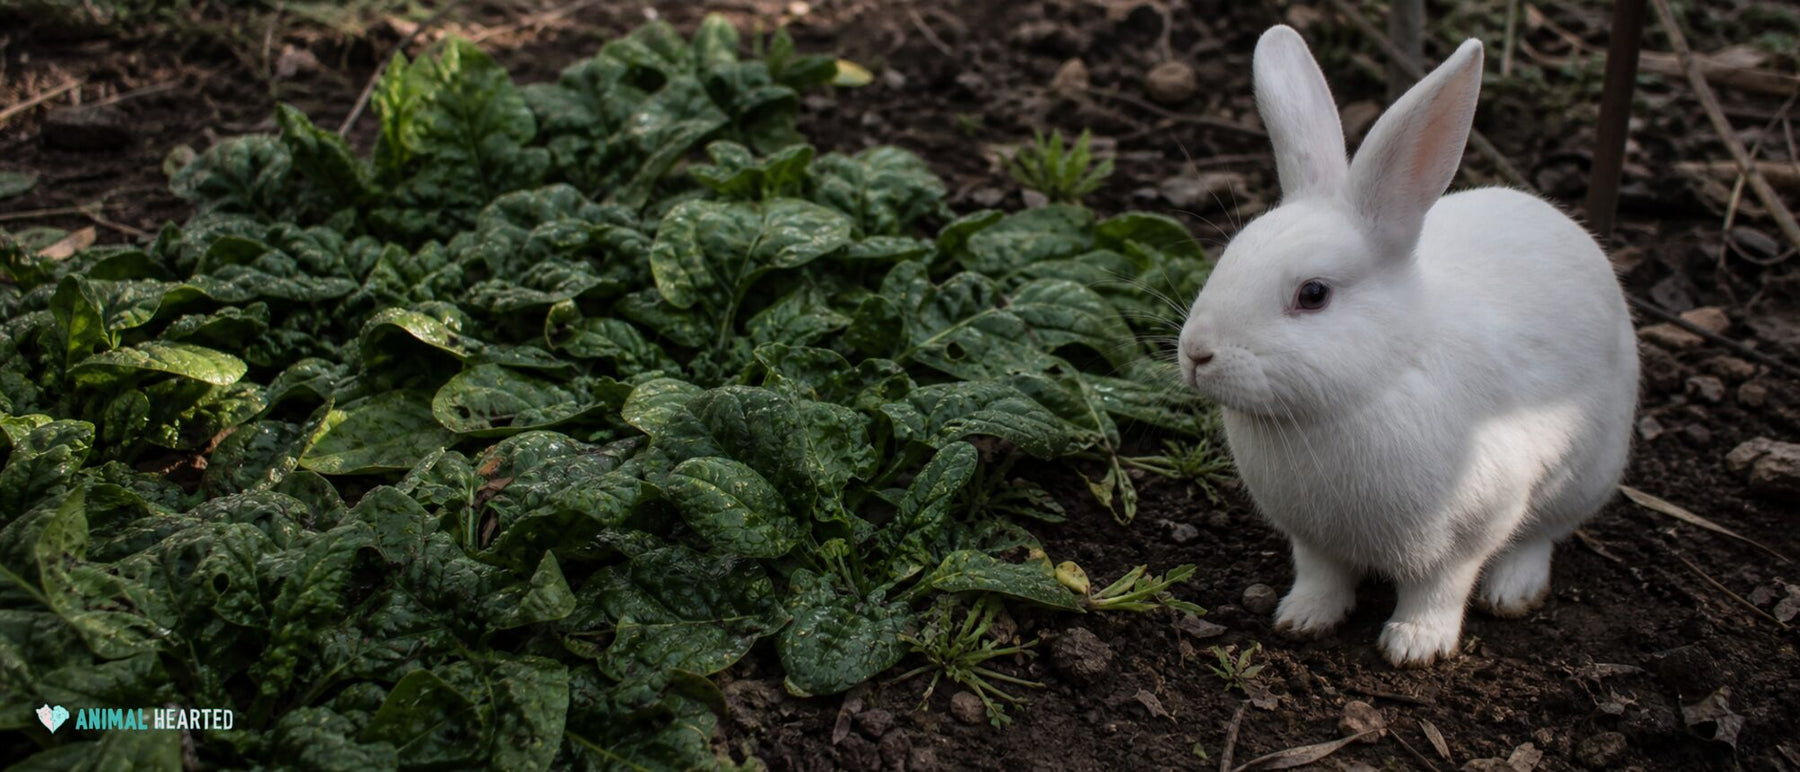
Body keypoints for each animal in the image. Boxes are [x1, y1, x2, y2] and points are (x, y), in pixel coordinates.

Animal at [1177, 25, 1639, 667]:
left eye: (1313, 294)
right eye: (1230, 254)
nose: (1197, 353)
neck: (1375, 382)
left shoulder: (1468, 530)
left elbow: (1439, 588)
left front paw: (1415, 646)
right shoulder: (1311, 539)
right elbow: (1322, 576)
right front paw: (1302, 619)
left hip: (1587, 471)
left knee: (1543, 533)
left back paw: (1511, 591)